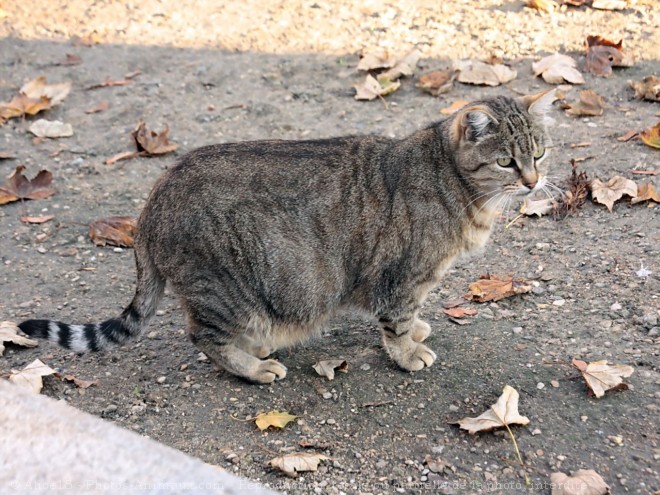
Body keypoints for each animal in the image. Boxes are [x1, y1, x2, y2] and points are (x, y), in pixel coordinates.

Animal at [18, 90, 556, 384]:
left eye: (541, 154)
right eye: (506, 161)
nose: (534, 183)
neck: (458, 186)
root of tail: (154, 199)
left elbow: (411, 317)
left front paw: (419, 331)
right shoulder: (402, 277)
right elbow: (398, 324)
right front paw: (407, 354)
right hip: (226, 289)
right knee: (203, 336)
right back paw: (253, 366)